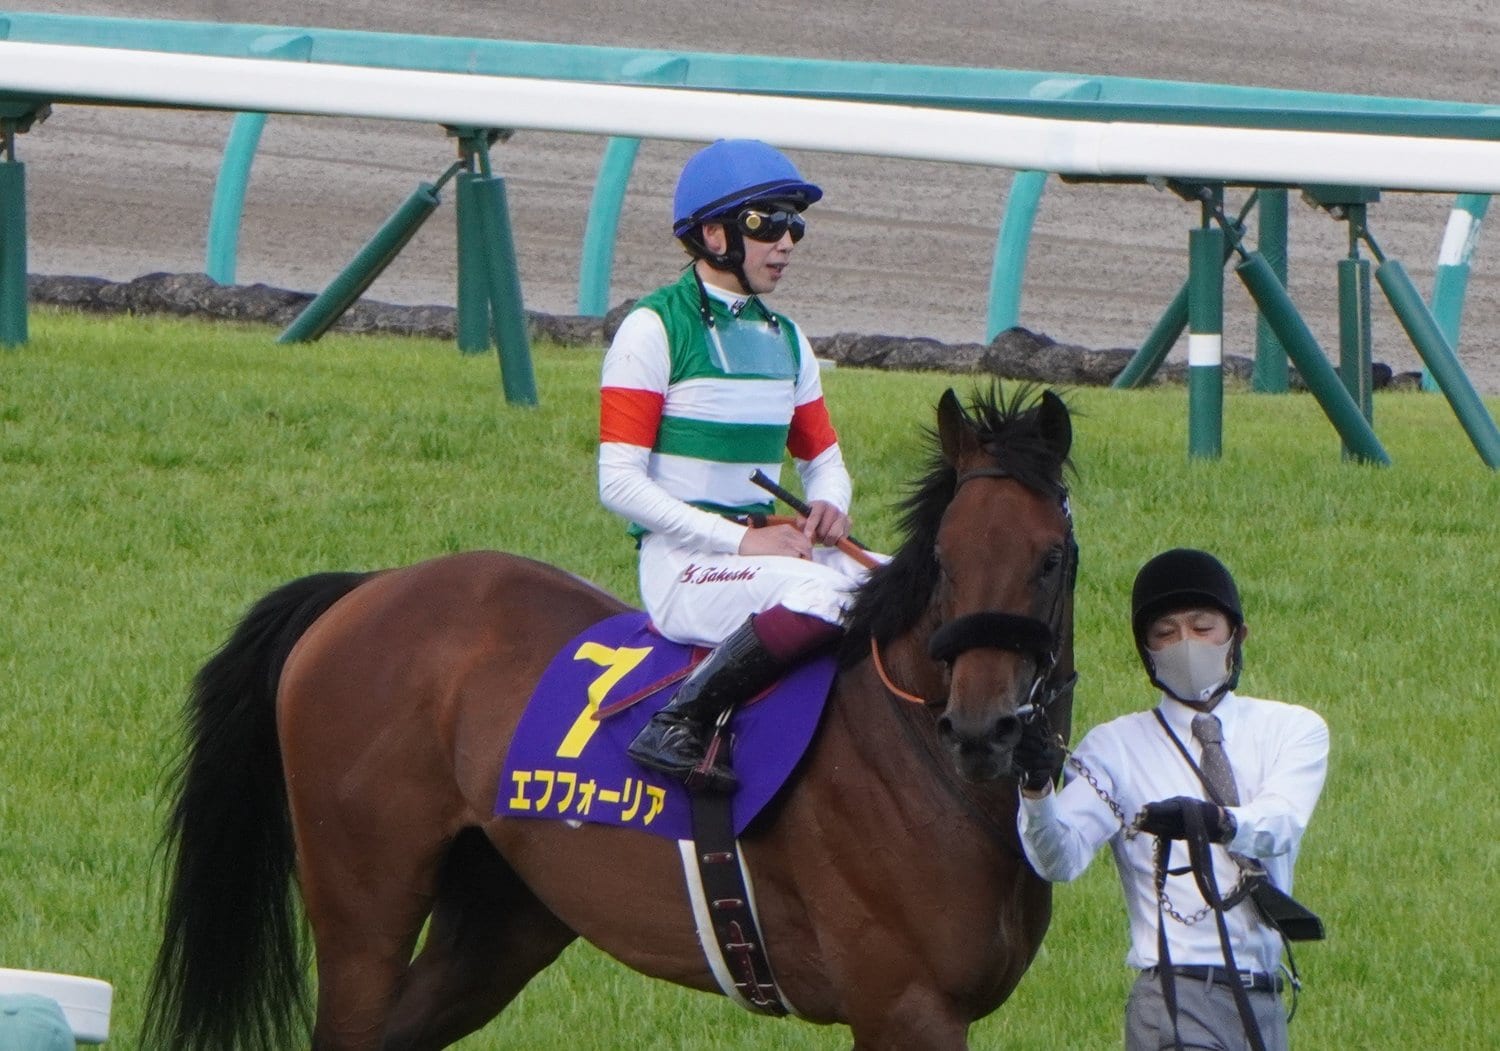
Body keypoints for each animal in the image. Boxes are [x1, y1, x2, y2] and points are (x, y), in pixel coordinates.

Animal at [142, 384, 1077, 1051]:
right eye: (944, 559)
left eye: (1051, 558)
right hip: (362, 904)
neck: (918, 755)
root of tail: (368, 588)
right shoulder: (903, 1006)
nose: (983, 729)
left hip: (504, 913)